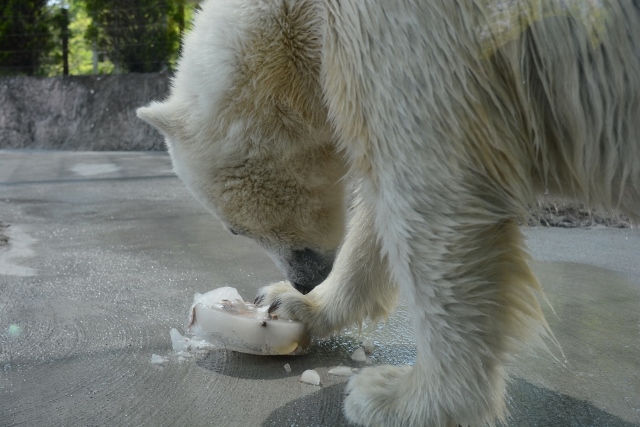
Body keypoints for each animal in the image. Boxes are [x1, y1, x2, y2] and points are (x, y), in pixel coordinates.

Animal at [140, 1, 640, 426]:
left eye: (235, 228)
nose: (304, 279)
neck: (298, 18)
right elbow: (378, 213)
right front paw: (294, 304)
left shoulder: (409, 40)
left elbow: (437, 199)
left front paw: (403, 398)